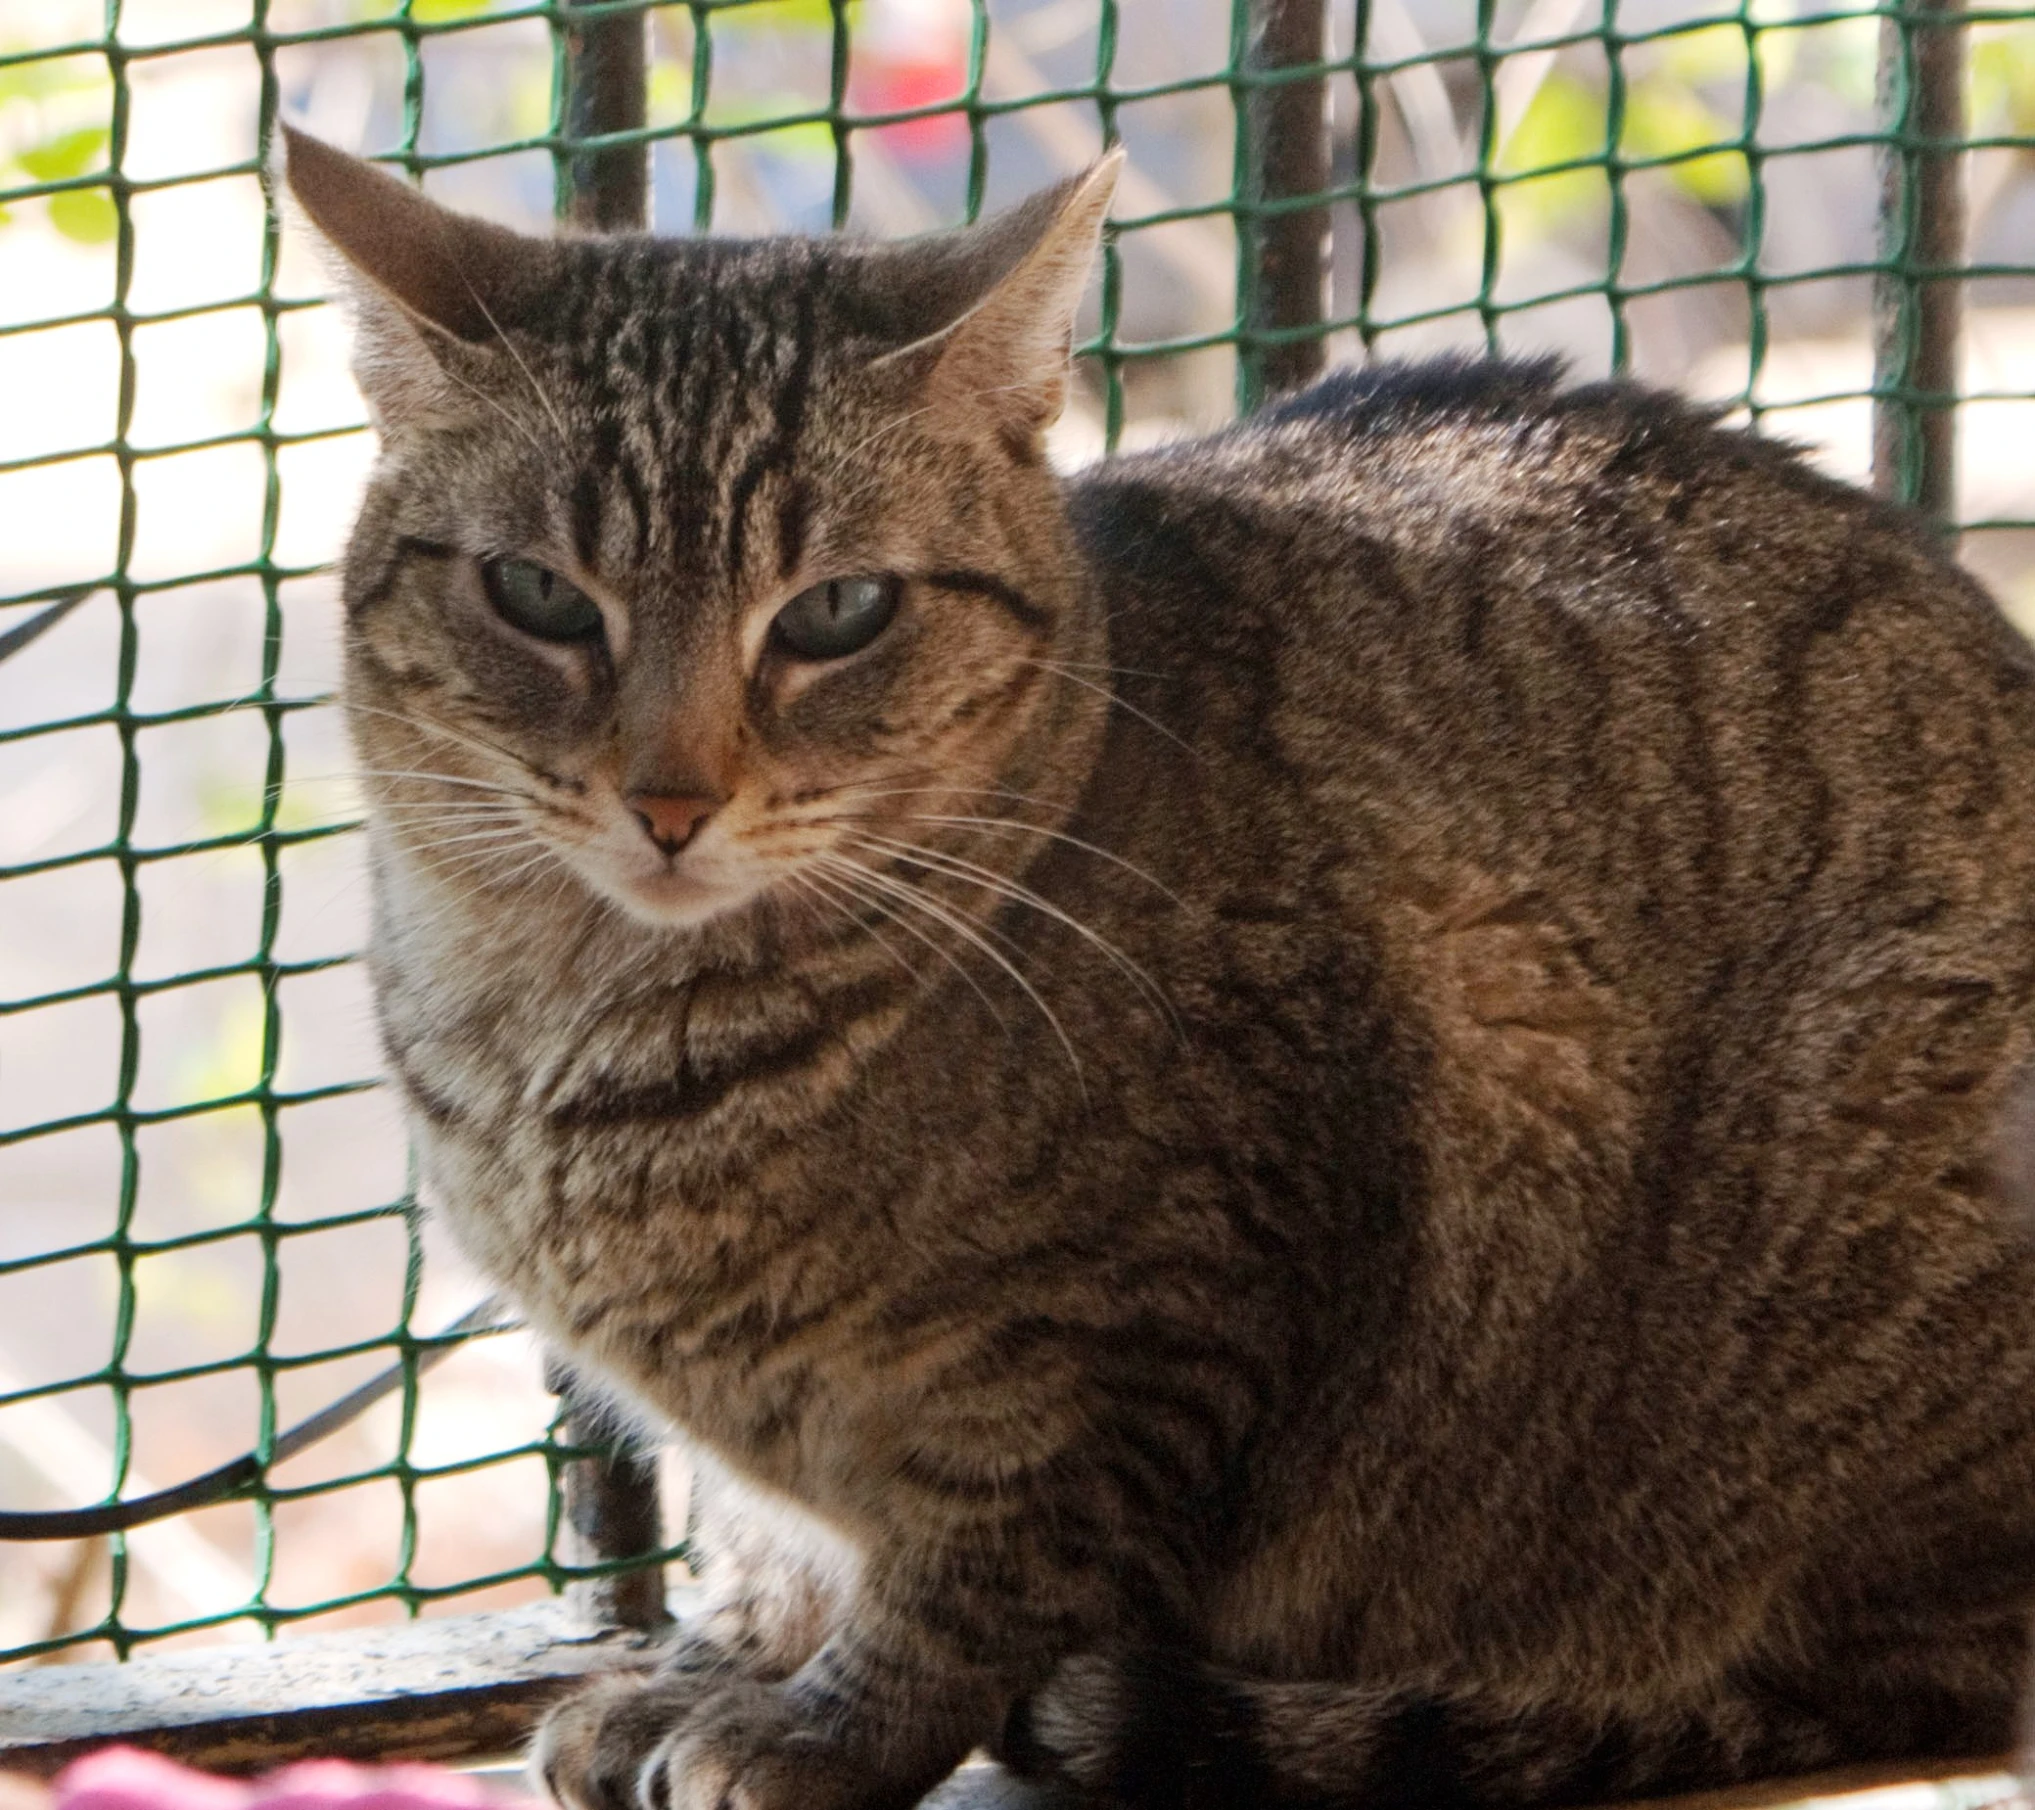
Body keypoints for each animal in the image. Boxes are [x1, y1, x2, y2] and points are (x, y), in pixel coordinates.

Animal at [278, 127, 2035, 1807]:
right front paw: (713, 1668)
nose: (668, 800)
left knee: (1887, 1676)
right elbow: (769, 1546)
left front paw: (816, 1726)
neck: (565, 1029)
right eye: (537, 595)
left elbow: (970, 1585)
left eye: (836, 611)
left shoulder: (1121, 1339)